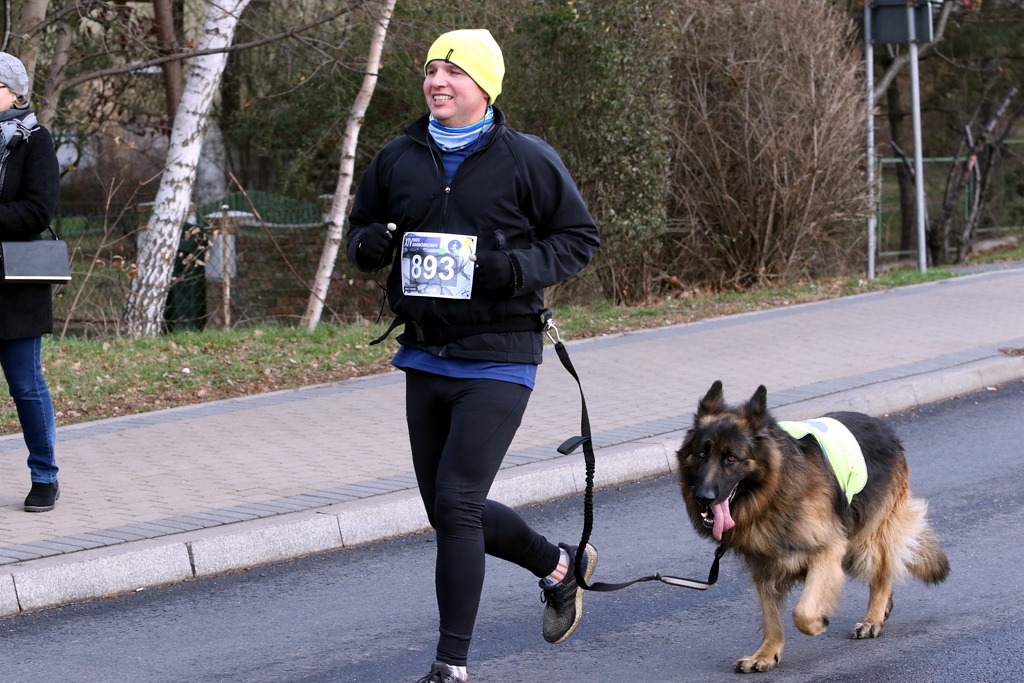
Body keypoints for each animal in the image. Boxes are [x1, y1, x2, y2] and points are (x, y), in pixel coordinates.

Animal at [676, 381, 949, 673]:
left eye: (731, 459)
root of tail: (882, 425)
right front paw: (766, 654)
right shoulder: (765, 567)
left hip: (865, 541)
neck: (772, 495)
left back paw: (873, 618)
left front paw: (818, 623)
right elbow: (772, 619)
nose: (703, 497)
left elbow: (803, 612)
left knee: (882, 573)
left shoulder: (827, 551)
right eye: (701, 454)